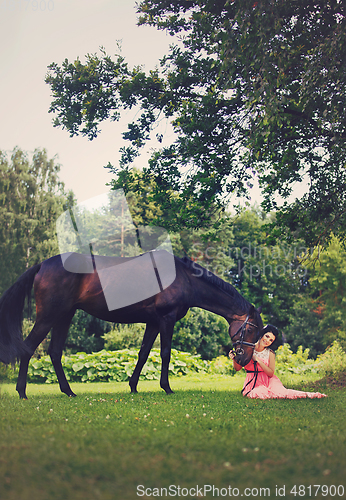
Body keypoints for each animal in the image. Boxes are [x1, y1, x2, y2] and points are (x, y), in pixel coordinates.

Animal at [0, 252, 262, 400]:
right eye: (250, 329)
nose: (245, 357)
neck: (183, 278)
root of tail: (42, 265)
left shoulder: (153, 322)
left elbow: (144, 353)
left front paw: (134, 386)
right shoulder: (166, 320)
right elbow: (165, 353)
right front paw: (166, 387)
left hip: (64, 315)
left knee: (54, 352)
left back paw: (68, 391)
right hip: (49, 316)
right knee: (28, 348)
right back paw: (22, 392)